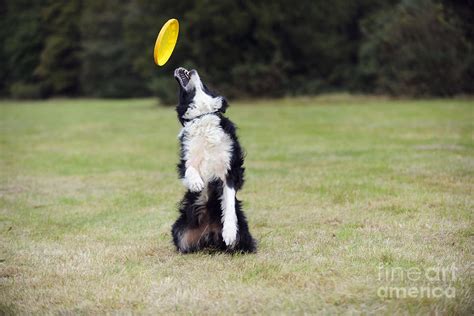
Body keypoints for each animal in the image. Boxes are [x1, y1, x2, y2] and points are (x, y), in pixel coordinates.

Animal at [171, 68, 256, 253]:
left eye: (206, 84)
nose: (191, 68)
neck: (202, 117)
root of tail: (210, 235)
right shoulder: (186, 160)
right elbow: (190, 169)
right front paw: (196, 183)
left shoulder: (231, 171)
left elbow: (229, 203)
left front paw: (229, 232)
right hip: (180, 231)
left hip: (244, 234)